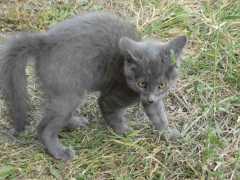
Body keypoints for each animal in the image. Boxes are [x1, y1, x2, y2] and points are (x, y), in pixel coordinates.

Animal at [0, 11, 188, 161]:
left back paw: (75, 123)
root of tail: (44, 40)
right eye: (141, 83)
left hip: (62, 91)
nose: (150, 98)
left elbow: (159, 117)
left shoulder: (155, 100)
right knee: (45, 127)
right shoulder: (112, 97)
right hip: (70, 91)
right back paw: (60, 152)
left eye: (162, 84)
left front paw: (168, 133)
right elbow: (114, 117)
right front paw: (125, 133)